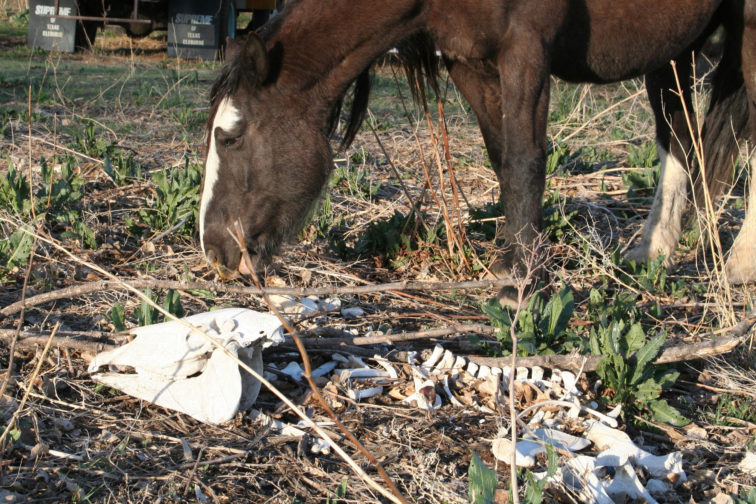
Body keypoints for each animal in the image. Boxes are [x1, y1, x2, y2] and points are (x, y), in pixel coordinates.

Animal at [198, 0, 752, 300]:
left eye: (231, 137)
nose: (216, 250)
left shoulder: (527, 50)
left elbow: (527, 162)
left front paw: (520, 286)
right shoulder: (469, 62)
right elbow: (503, 160)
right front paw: (513, 264)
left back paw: (739, 264)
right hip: (676, 48)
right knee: (680, 139)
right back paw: (651, 252)